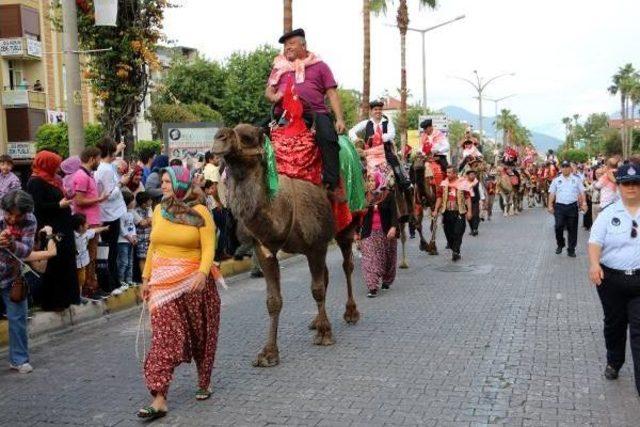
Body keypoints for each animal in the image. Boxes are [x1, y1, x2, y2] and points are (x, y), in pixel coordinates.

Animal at [211, 123, 358, 368]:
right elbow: (273, 300)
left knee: (347, 266)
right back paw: (315, 320)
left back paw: (351, 313)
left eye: (248, 136)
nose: (218, 138)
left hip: (347, 226)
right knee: (327, 273)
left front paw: (325, 334)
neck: (284, 205)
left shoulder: (316, 245)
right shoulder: (265, 249)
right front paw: (268, 353)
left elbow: (317, 289)